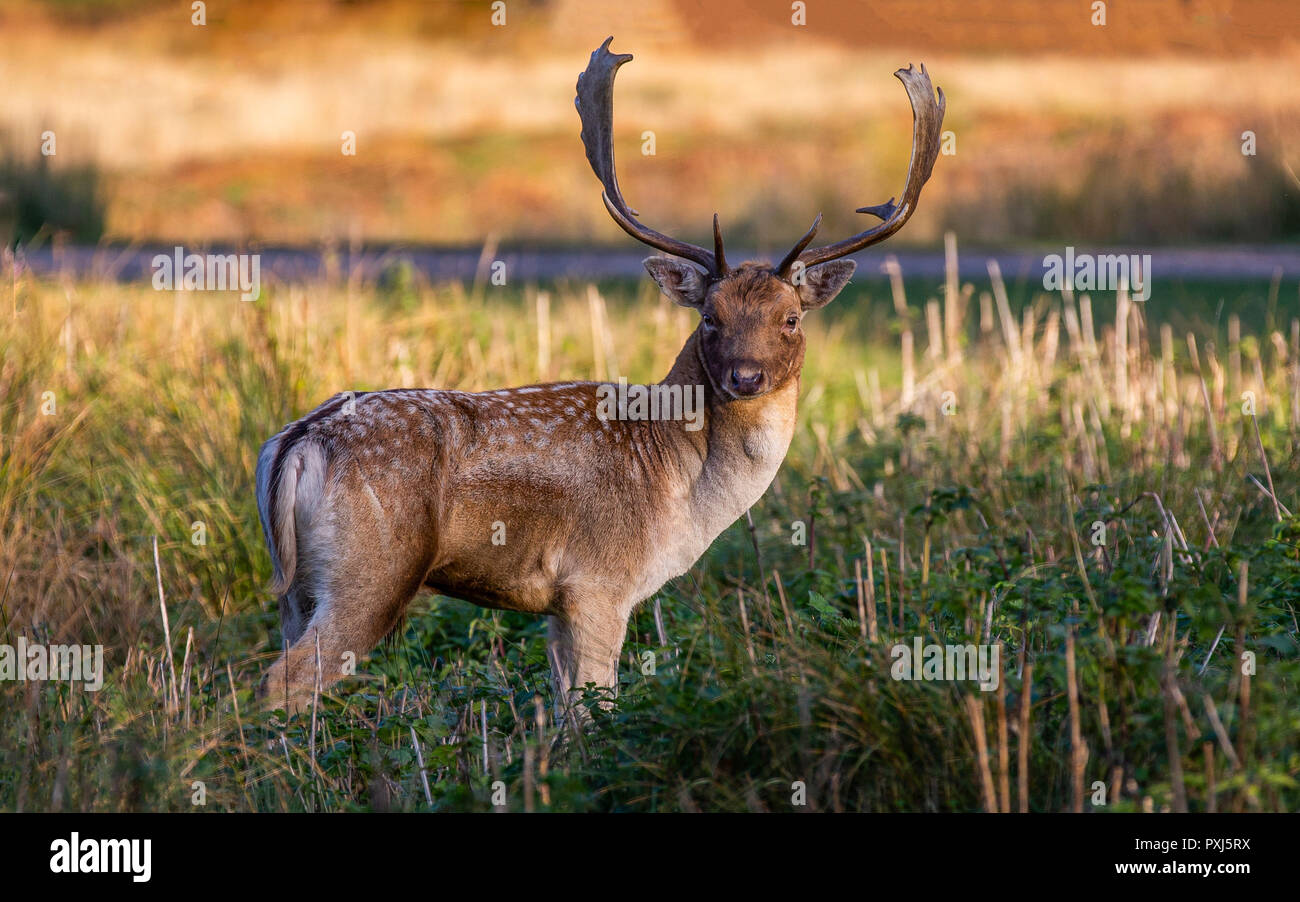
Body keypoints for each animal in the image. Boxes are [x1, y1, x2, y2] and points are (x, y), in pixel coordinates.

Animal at [255, 37, 944, 723]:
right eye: (711, 317)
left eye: (791, 319)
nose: (745, 376)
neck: (681, 486)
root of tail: (297, 443)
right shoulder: (598, 581)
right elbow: (596, 708)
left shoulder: (558, 605)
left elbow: (567, 711)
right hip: (372, 569)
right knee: (283, 681)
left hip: (294, 586)